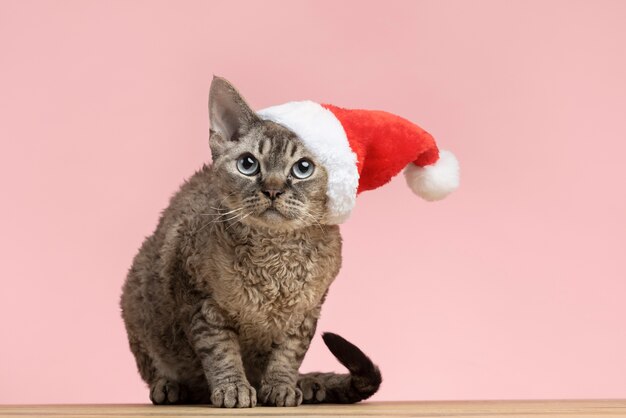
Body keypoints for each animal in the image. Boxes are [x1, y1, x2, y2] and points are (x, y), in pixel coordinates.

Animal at [119, 76, 378, 406]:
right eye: (248, 164)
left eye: (302, 168)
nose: (273, 189)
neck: (275, 261)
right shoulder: (201, 303)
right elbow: (221, 352)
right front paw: (233, 388)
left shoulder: (305, 314)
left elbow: (288, 355)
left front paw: (281, 386)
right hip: (137, 298)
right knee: (163, 368)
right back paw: (171, 387)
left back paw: (307, 385)